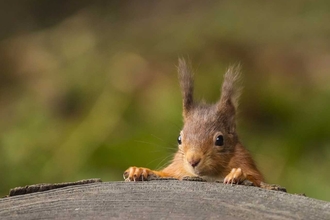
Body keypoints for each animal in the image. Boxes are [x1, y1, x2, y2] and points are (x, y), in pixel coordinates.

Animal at [122, 58, 264, 186]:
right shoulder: (176, 168)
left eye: (220, 140)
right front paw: (140, 170)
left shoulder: (244, 160)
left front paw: (237, 174)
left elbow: (256, 179)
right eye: (179, 139)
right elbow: (163, 173)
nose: (193, 160)